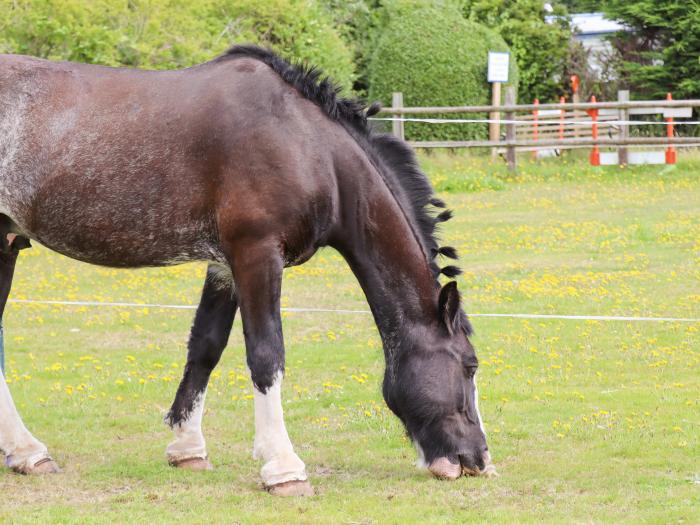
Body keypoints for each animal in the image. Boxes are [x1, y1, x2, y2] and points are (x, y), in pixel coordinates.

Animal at [0, 45, 492, 496]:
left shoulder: (224, 265)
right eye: (469, 365)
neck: (306, 145)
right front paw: (283, 467)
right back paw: (29, 450)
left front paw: (188, 448)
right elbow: (266, 355)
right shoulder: (257, 254)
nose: (478, 459)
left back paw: (26, 454)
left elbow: (206, 347)